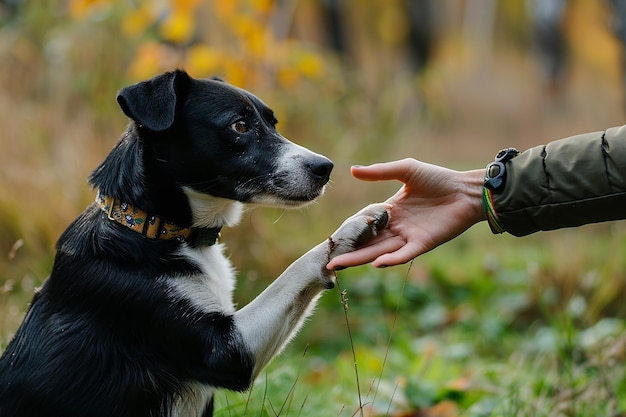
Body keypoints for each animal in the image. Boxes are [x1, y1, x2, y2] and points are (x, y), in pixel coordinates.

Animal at [0, 70, 386, 414]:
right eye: (239, 126)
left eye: (273, 124)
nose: (325, 168)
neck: (159, 230)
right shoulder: (228, 352)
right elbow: (296, 269)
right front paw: (352, 227)